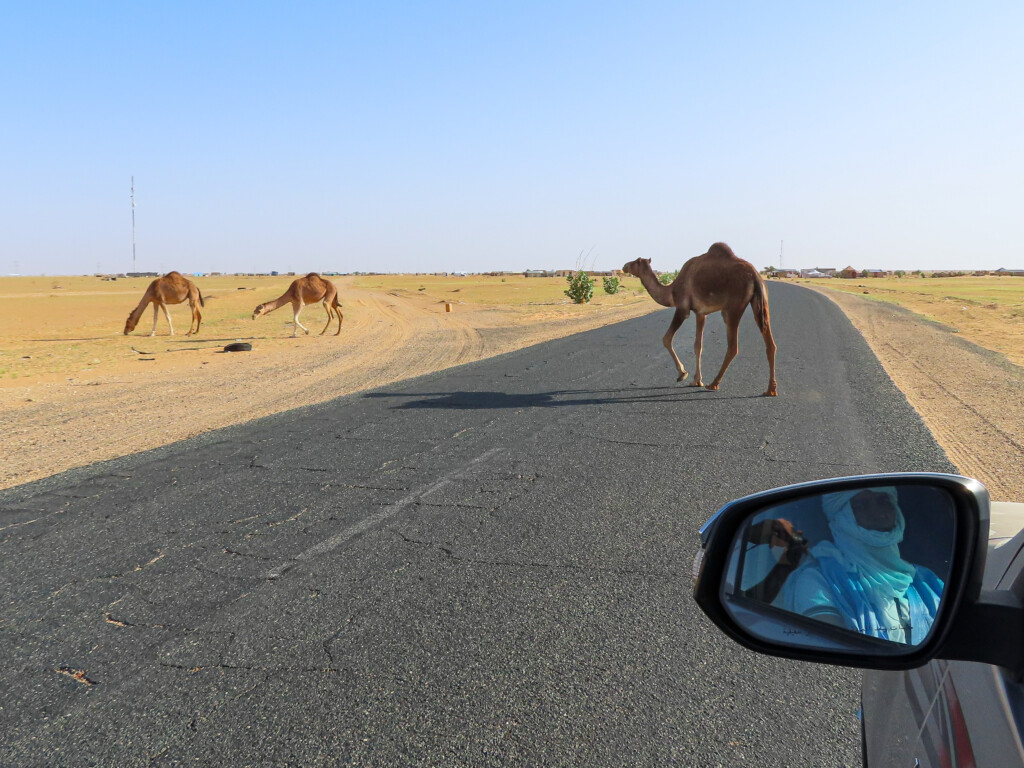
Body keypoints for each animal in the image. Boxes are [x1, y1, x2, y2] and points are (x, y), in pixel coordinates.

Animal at [618, 241, 778, 399]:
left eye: (636, 261)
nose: (624, 266)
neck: (671, 291)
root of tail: (755, 276)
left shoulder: (682, 309)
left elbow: (667, 339)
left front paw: (682, 374)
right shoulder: (701, 313)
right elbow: (698, 346)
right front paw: (696, 380)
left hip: (733, 306)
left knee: (733, 346)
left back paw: (713, 384)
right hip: (761, 303)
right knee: (770, 343)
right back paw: (770, 390)